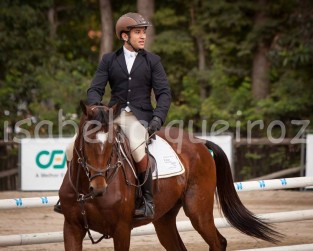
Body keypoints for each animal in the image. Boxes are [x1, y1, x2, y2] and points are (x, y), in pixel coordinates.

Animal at [58, 101, 280, 250]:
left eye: (113, 144)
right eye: (86, 141)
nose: (99, 188)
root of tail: (200, 142)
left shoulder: (121, 230)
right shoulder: (72, 228)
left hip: (198, 212)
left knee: (219, 242)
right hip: (164, 219)